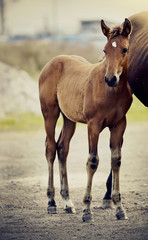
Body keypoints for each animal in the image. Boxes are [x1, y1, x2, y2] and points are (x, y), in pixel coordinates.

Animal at [39, 19, 132, 222]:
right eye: (105, 50)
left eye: (124, 49)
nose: (111, 78)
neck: (110, 91)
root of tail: (52, 62)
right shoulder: (93, 125)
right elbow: (93, 161)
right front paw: (87, 210)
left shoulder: (119, 125)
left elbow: (116, 160)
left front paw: (119, 208)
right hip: (50, 113)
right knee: (50, 148)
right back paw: (52, 203)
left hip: (69, 119)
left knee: (62, 148)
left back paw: (68, 203)